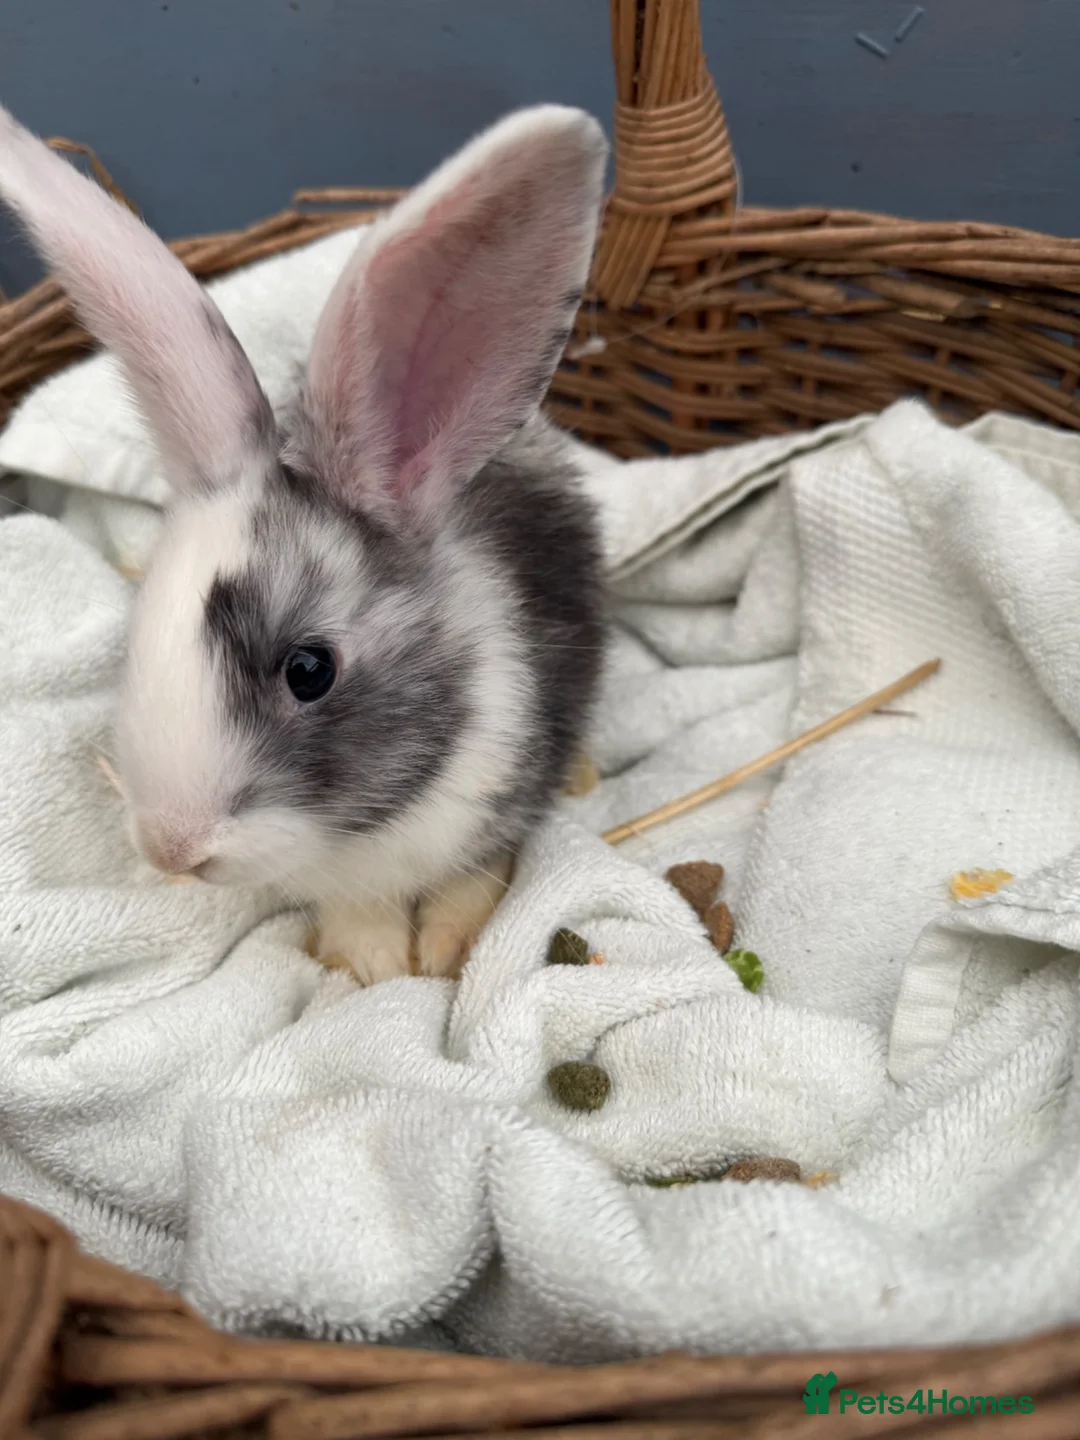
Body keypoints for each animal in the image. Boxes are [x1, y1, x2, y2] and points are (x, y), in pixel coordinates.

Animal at [0, 103, 609, 984]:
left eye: (309, 670)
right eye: (136, 640)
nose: (171, 848)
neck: (367, 828)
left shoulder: (499, 806)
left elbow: (473, 883)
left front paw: (446, 955)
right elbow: (356, 917)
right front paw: (368, 967)